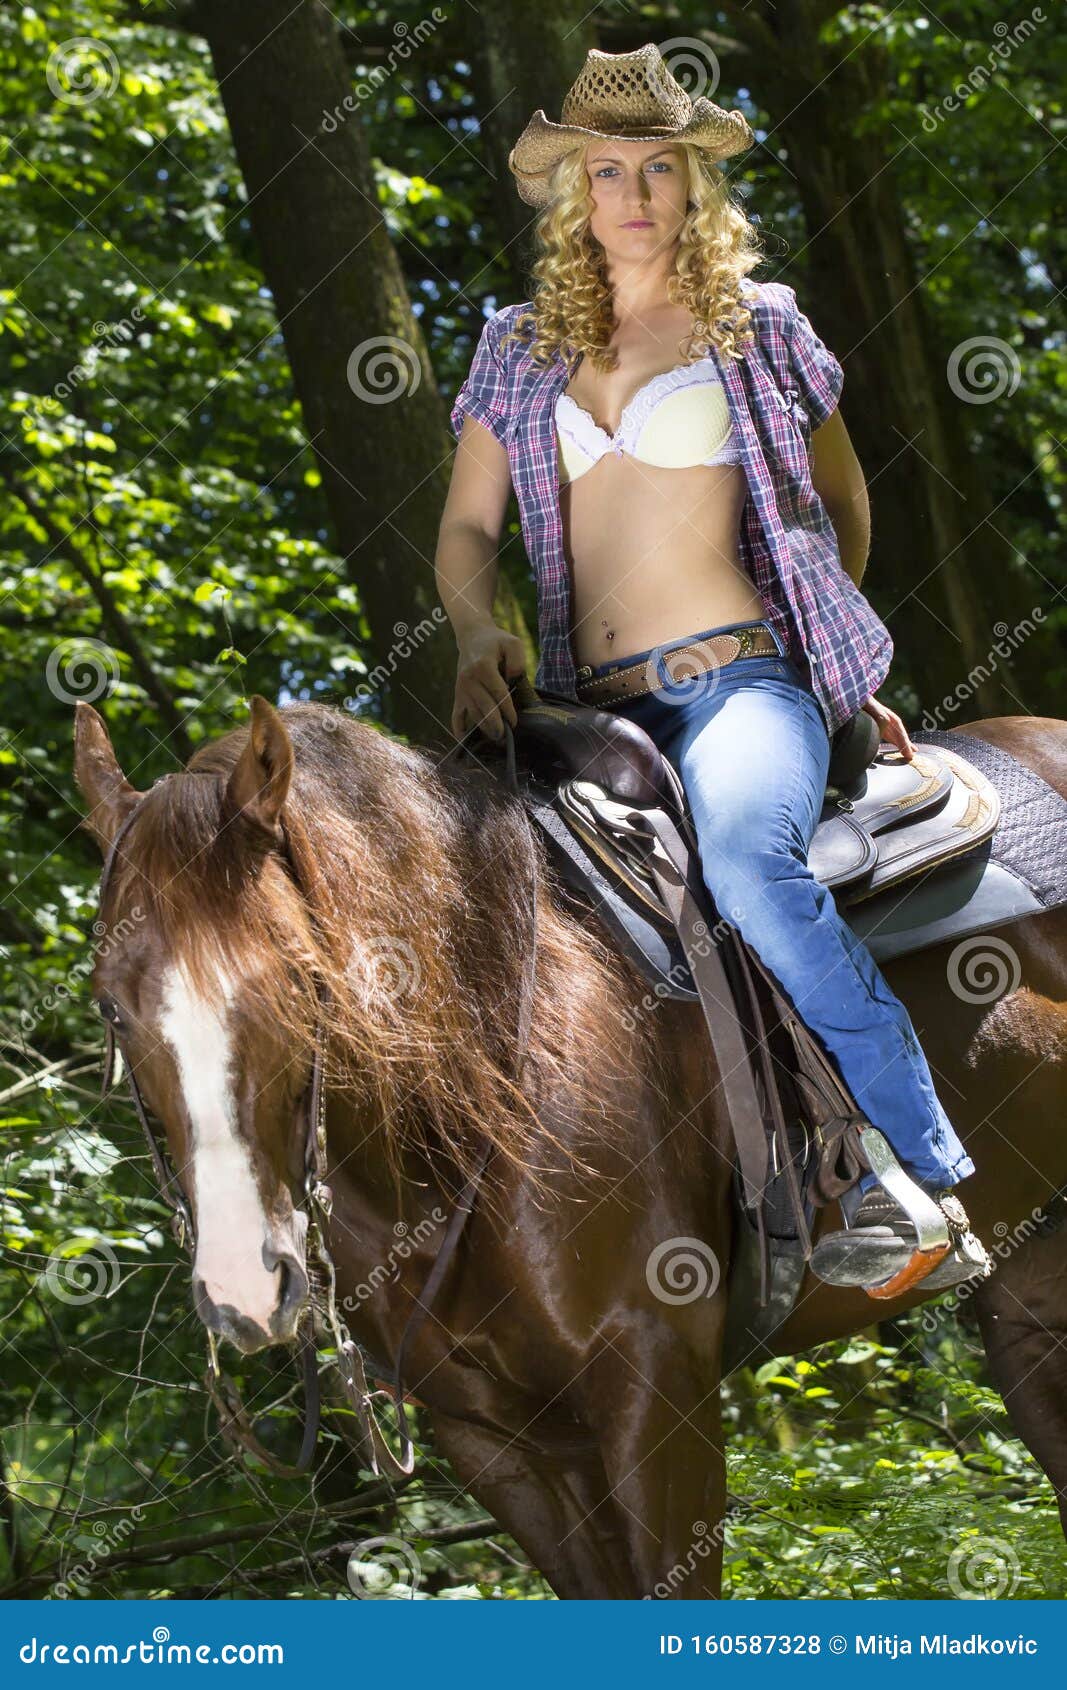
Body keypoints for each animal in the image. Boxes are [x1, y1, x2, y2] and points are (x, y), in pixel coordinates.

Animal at [73, 692, 1067, 1588]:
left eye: (300, 979)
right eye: (111, 1006)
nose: (243, 1286)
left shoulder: (654, 1391)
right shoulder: (501, 1445)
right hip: (1027, 1289)